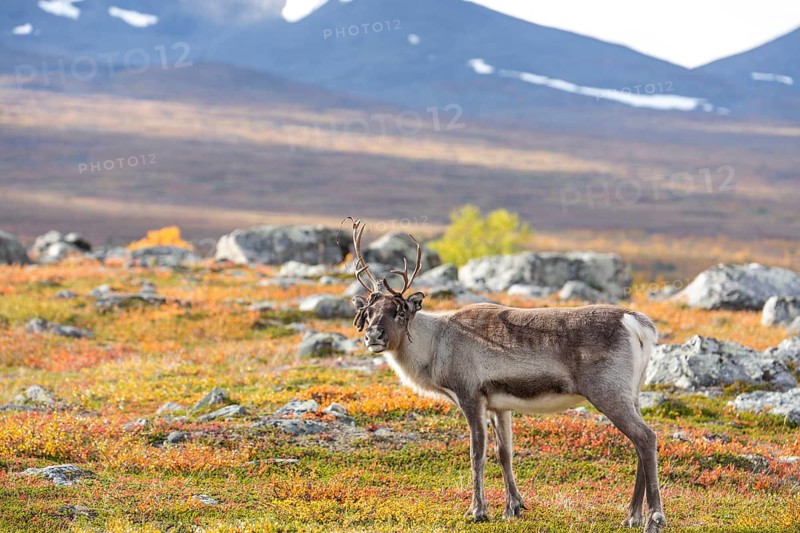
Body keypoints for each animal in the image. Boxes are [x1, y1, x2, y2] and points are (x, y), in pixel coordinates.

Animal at [346, 219, 666, 532]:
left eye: (400, 312)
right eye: (369, 312)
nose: (373, 336)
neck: (437, 343)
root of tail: (637, 323)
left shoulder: (470, 396)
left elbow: (477, 452)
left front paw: (477, 511)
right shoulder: (499, 404)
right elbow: (505, 451)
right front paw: (513, 507)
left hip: (608, 392)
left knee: (645, 437)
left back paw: (653, 517)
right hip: (632, 394)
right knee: (639, 441)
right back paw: (631, 516)